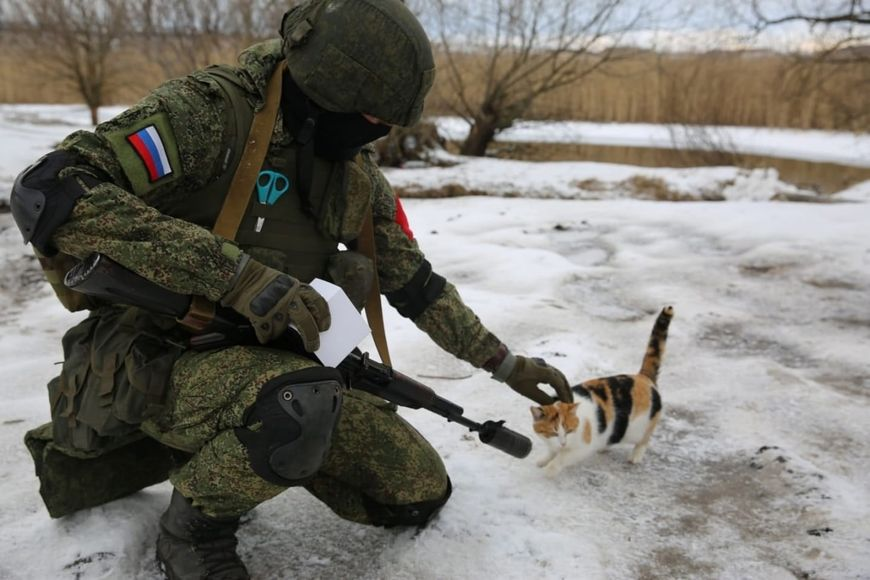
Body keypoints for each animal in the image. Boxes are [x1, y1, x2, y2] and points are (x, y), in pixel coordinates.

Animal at [532, 304, 676, 476]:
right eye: (553, 432)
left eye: (569, 430)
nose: (563, 443)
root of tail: (643, 377)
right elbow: (552, 451)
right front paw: (543, 460)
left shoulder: (583, 447)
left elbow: (561, 458)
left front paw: (549, 470)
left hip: (640, 427)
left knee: (644, 440)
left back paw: (635, 456)